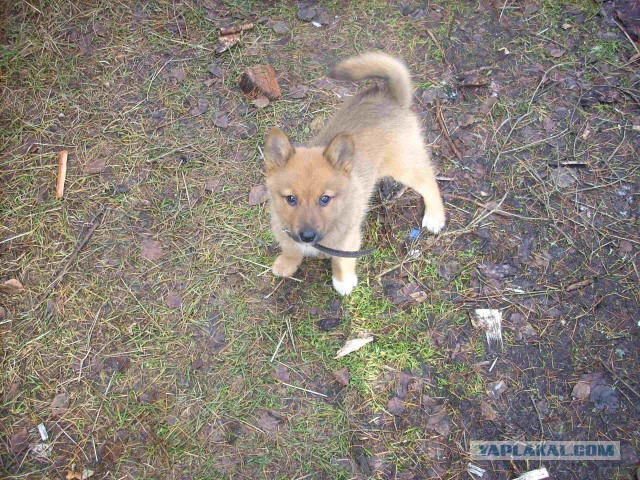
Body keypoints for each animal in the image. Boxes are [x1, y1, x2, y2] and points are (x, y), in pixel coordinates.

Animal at [262, 50, 442, 294]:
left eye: (325, 199)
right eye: (291, 199)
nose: (307, 236)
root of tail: (391, 96)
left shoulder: (348, 241)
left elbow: (341, 261)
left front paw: (343, 281)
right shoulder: (284, 228)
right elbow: (290, 248)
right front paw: (286, 263)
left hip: (404, 166)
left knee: (429, 183)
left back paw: (435, 217)